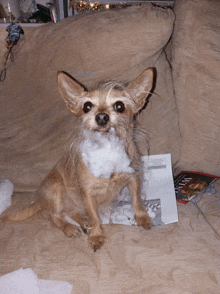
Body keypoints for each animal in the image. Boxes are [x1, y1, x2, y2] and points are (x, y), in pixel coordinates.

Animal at [3, 68, 155, 250]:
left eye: (120, 106)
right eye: (87, 106)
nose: (101, 117)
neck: (107, 149)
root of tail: (41, 200)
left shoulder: (133, 178)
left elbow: (136, 201)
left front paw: (142, 218)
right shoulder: (87, 192)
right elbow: (95, 217)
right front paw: (96, 235)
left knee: (73, 212)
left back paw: (83, 220)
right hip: (56, 190)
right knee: (55, 216)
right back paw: (70, 227)